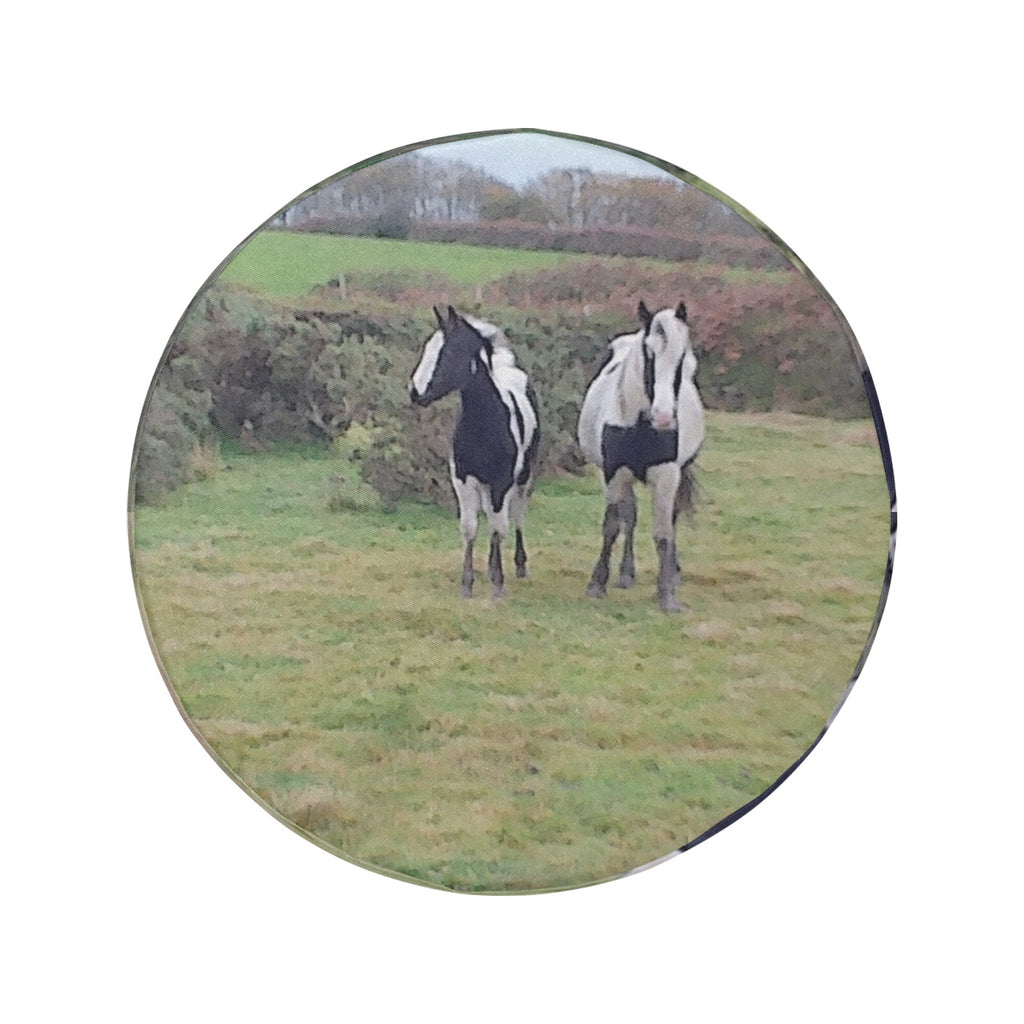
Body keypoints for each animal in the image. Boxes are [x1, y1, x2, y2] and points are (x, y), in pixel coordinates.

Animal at [410, 306, 540, 599]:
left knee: (516, 515)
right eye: (427, 348)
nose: (415, 392)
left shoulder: (501, 482)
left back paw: (519, 565)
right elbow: (470, 528)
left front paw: (498, 584)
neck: (484, 424)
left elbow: (498, 528)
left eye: (448, 353)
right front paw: (467, 584)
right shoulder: (463, 479)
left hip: (523, 477)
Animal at [577, 301, 705, 613]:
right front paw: (597, 583)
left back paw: (672, 572)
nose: (664, 417)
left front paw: (667, 594)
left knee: (671, 519)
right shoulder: (614, 473)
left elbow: (664, 533)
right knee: (630, 516)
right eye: (649, 352)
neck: (639, 424)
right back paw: (626, 574)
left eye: (682, 357)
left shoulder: (667, 475)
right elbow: (612, 526)